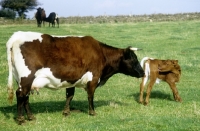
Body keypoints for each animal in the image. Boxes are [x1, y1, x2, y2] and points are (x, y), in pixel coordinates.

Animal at [5, 31, 144, 124]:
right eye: (134, 60)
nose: (143, 72)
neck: (101, 54)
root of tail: (16, 36)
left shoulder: (71, 79)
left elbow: (69, 96)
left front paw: (66, 112)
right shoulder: (93, 79)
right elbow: (90, 96)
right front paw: (92, 112)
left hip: (23, 80)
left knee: (25, 97)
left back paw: (31, 117)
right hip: (26, 77)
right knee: (21, 95)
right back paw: (21, 119)